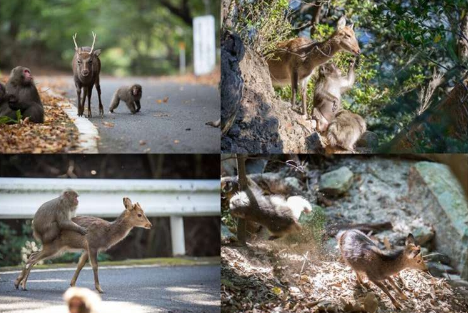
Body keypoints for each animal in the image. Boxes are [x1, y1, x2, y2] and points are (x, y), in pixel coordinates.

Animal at [15, 196, 152, 292]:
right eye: (139, 214)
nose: (149, 225)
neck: (107, 233)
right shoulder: (92, 244)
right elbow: (95, 266)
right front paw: (99, 289)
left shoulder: (86, 248)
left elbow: (80, 265)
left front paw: (72, 285)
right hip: (54, 246)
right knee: (33, 258)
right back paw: (22, 285)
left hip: (55, 247)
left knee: (32, 255)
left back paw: (18, 283)